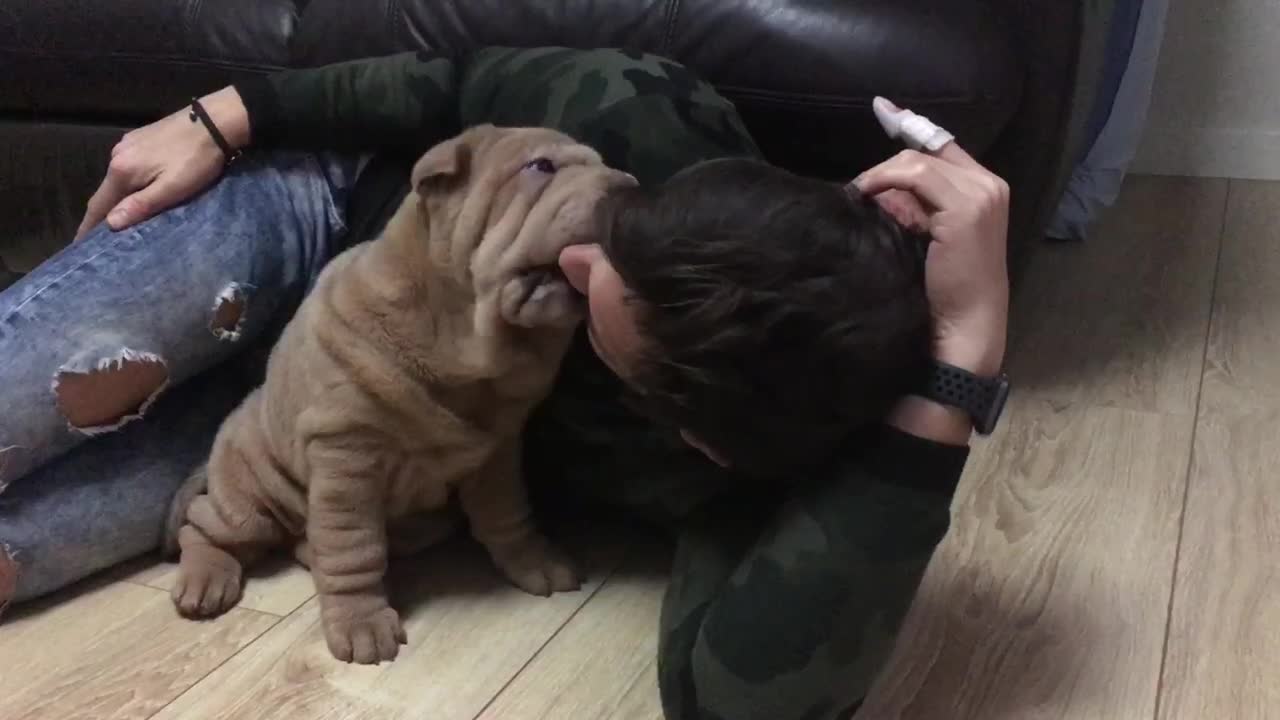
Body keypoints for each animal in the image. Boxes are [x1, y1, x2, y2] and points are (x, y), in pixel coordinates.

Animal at [167, 122, 637, 661]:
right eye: (540, 167)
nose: (632, 189)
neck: (468, 342)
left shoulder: (497, 449)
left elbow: (508, 513)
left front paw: (536, 561)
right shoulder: (347, 453)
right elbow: (353, 547)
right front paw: (361, 625)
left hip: (422, 522)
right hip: (249, 498)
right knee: (206, 527)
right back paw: (205, 581)